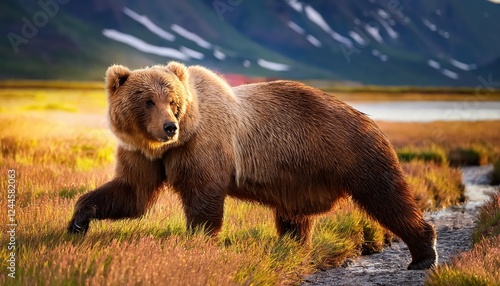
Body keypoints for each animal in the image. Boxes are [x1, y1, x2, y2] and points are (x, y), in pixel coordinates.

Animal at [67, 61, 438, 270]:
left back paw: (423, 254)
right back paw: (291, 246)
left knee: (387, 197)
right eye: (147, 101)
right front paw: (77, 223)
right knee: (294, 218)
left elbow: (202, 198)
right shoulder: (143, 155)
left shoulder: (203, 145)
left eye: (173, 101)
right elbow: (132, 193)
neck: (167, 145)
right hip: (299, 178)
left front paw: (198, 241)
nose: (169, 126)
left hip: (353, 152)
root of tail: (368, 116)